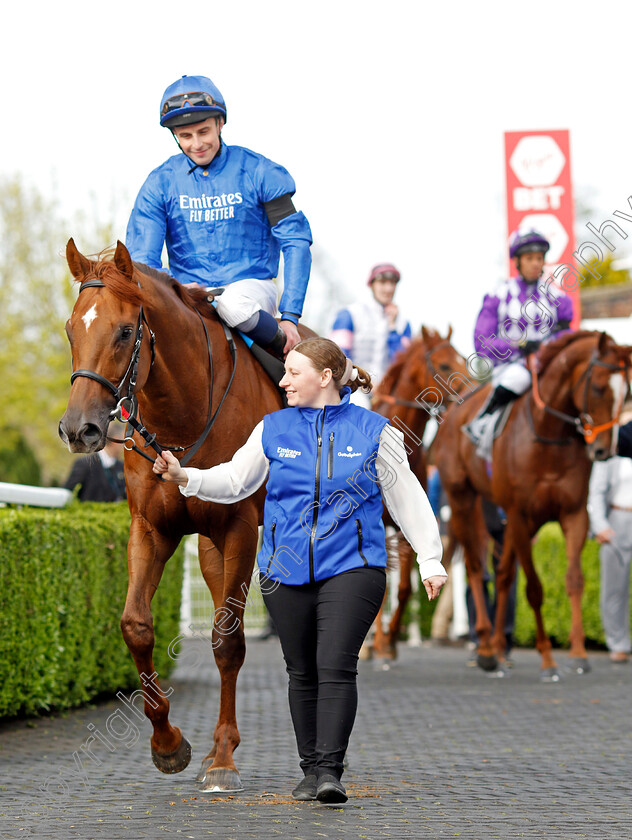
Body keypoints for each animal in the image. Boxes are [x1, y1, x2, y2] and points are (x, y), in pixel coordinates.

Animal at [58, 240, 304, 792]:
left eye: (125, 331)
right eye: (70, 328)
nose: (78, 429)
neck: (182, 416)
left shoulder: (238, 529)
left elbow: (227, 641)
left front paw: (223, 760)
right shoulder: (153, 528)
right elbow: (136, 625)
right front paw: (168, 744)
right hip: (208, 550)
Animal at [370, 324, 470, 660]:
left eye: (463, 358)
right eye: (444, 365)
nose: (470, 395)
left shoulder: (405, 526)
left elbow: (403, 589)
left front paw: (389, 643)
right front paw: (377, 644)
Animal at [432, 332, 628, 680]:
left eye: (627, 391)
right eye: (598, 387)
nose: (605, 450)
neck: (548, 434)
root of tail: (454, 410)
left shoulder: (573, 514)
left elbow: (574, 580)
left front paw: (578, 654)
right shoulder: (520, 515)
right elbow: (534, 588)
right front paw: (548, 660)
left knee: (503, 574)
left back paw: (498, 647)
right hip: (462, 500)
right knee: (475, 567)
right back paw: (485, 648)